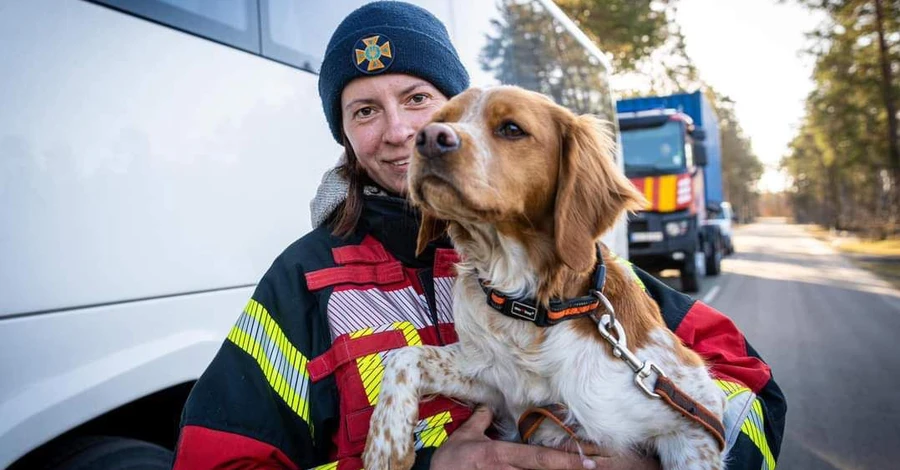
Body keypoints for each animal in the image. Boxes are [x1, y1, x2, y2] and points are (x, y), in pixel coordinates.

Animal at [362, 86, 728, 468]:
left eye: (511, 128)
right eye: (441, 120)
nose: (428, 138)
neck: (532, 307)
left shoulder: (695, 419)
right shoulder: (494, 384)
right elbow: (405, 356)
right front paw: (385, 447)